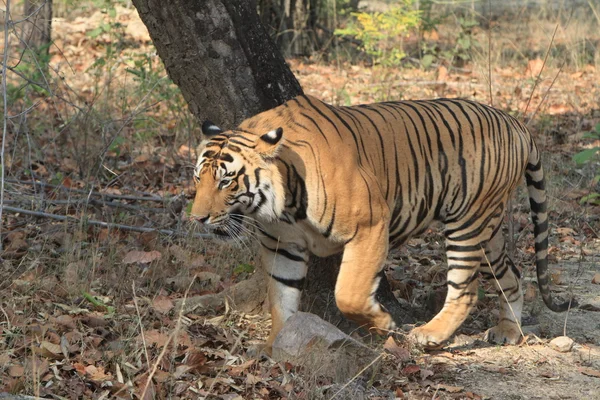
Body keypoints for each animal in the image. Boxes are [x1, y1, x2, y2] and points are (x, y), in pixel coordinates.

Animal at [191, 94, 572, 354]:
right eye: (198, 178)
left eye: (226, 181)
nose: (197, 218)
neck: (282, 204)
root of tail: (515, 122)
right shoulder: (282, 244)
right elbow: (280, 298)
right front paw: (275, 344)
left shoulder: (370, 225)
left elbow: (349, 292)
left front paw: (384, 323)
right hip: (488, 229)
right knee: (511, 274)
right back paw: (509, 330)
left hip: (468, 222)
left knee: (465, 288)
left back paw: (430, 334)